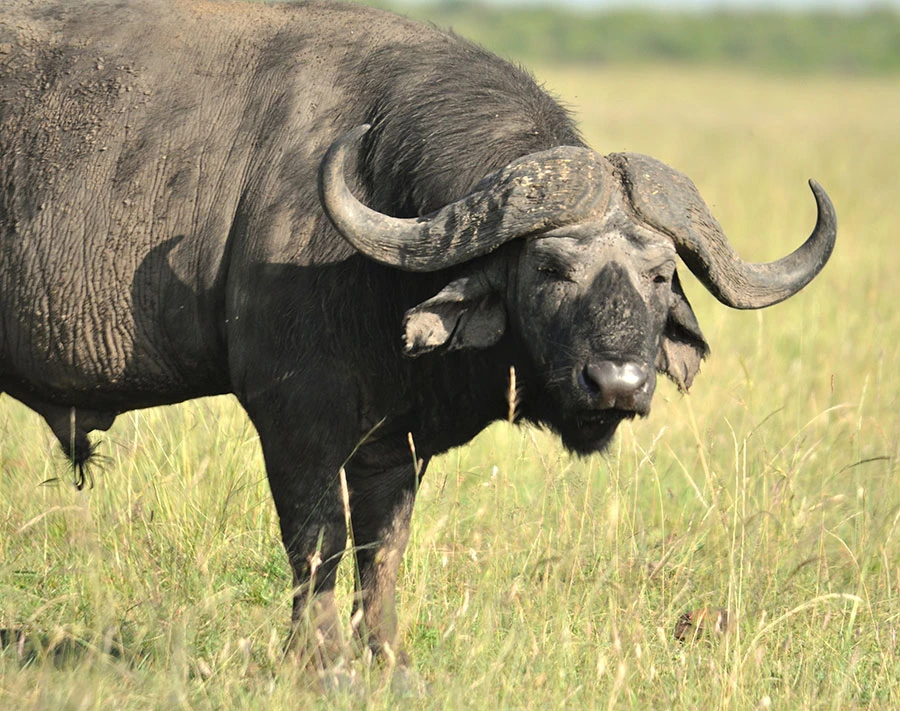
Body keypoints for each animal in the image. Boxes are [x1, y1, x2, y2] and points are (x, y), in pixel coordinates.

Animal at [0, 0, 835, 670]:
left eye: (660, 275)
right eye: (549, 267)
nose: (618, 385)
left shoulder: (392, 445)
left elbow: (384, 548)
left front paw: (386, 656)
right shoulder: (294, 418)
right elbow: (318, 541)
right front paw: (320, 662)